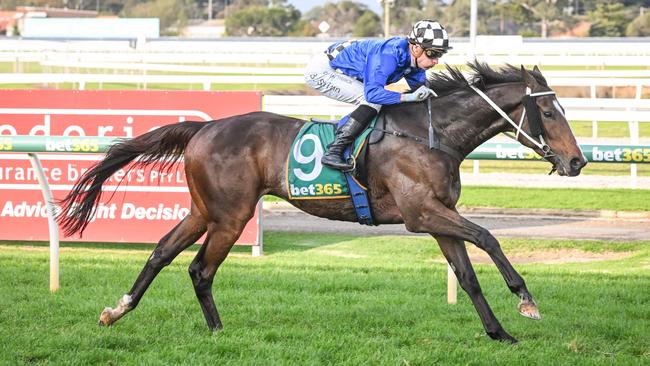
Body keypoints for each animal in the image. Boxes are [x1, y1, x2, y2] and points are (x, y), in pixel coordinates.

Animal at [58, 61, 588, 344]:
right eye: (547, 111)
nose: (578, 161)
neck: (432, 134)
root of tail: (204, 128)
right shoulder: (422, 214)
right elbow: (489, 237)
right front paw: (526, 300)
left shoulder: (439, 216)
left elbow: (467, 274)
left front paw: (499, 333)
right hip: (231, 215)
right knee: (201, 268)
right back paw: (217, 330)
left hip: (204, 209)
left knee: (163, 253)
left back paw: (119, 311)